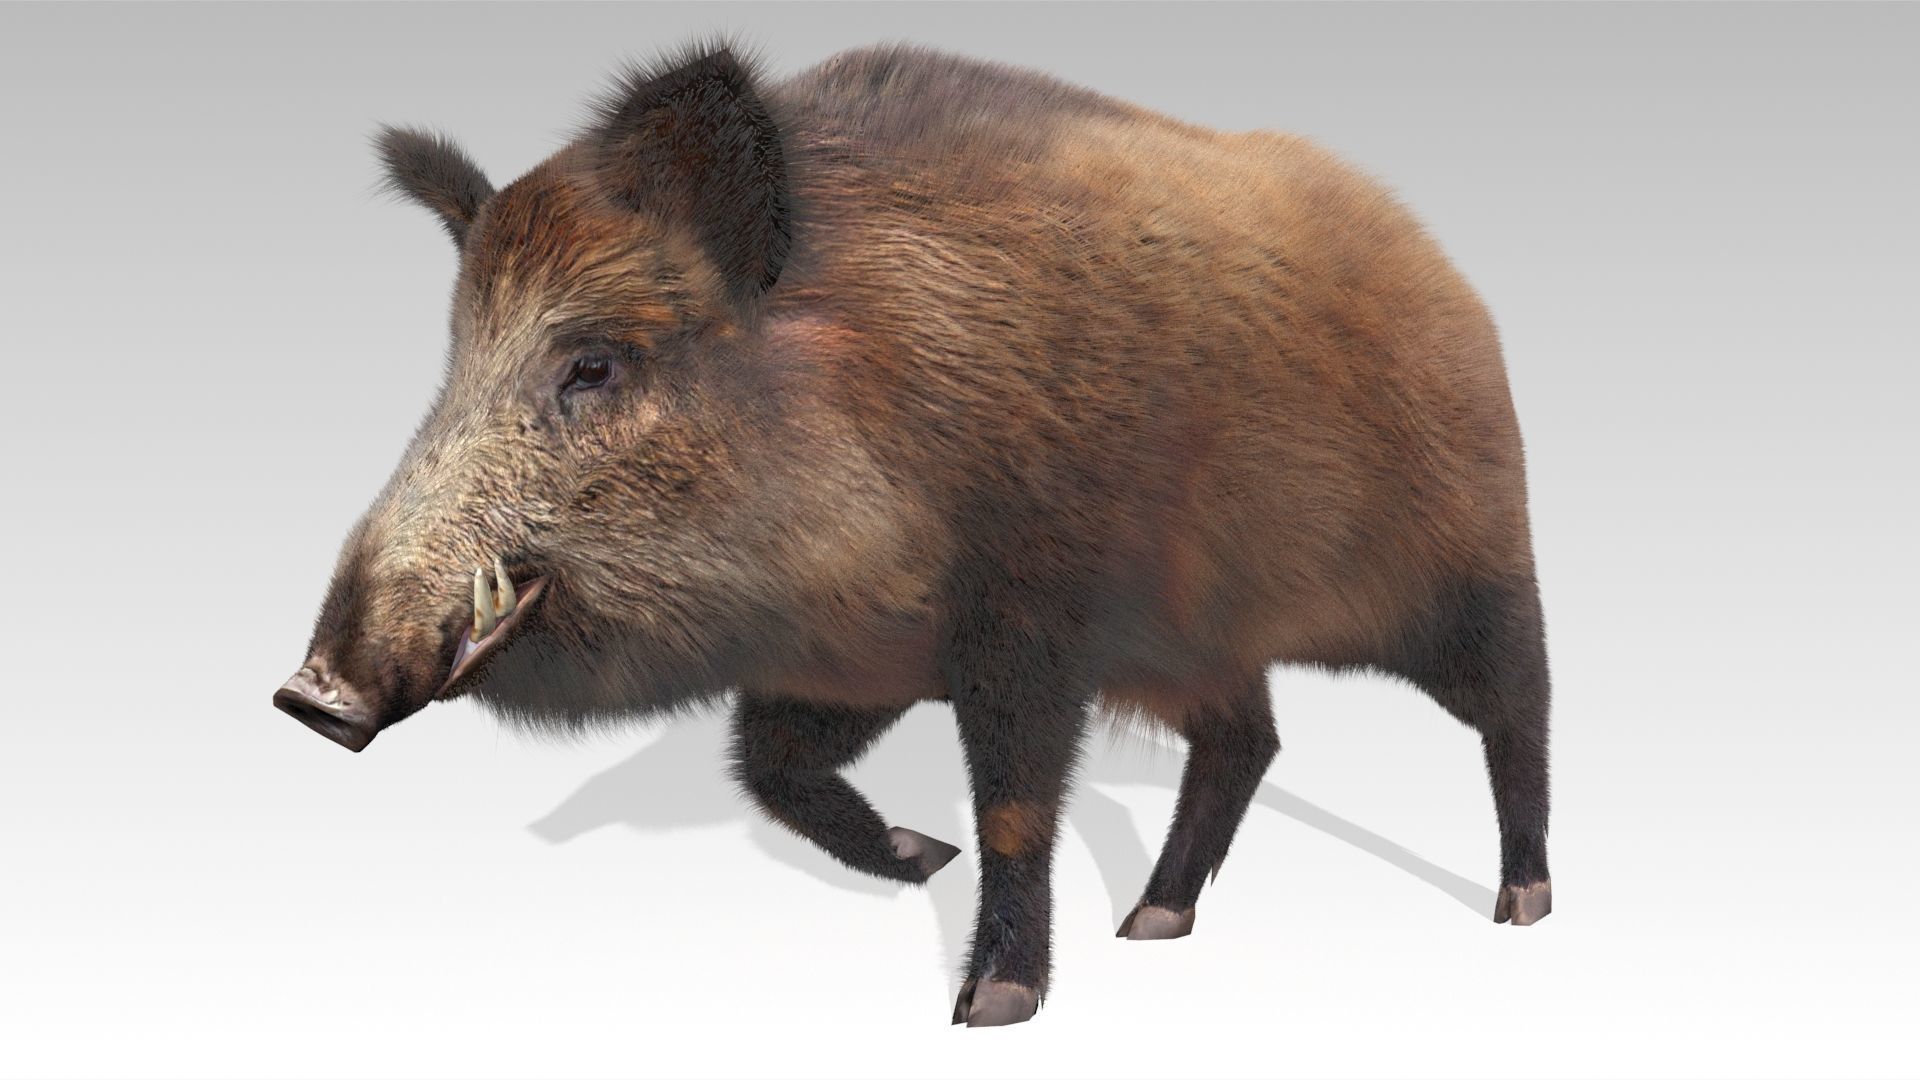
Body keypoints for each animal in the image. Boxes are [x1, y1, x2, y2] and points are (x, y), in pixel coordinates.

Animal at [273, 40, 1552, 1027]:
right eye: (455, 366)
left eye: (593, 364)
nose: (308, 694)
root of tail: (1449, 278)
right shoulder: (863, 658)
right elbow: (768, 767)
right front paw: (916, 858)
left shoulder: (1030, 625)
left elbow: (1016, 807)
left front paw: (990, 1007)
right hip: (1204, 647)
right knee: (1249, 740)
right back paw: (1154, 922)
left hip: (1474, 566)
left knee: (1520, 705)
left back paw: (1523, 904)